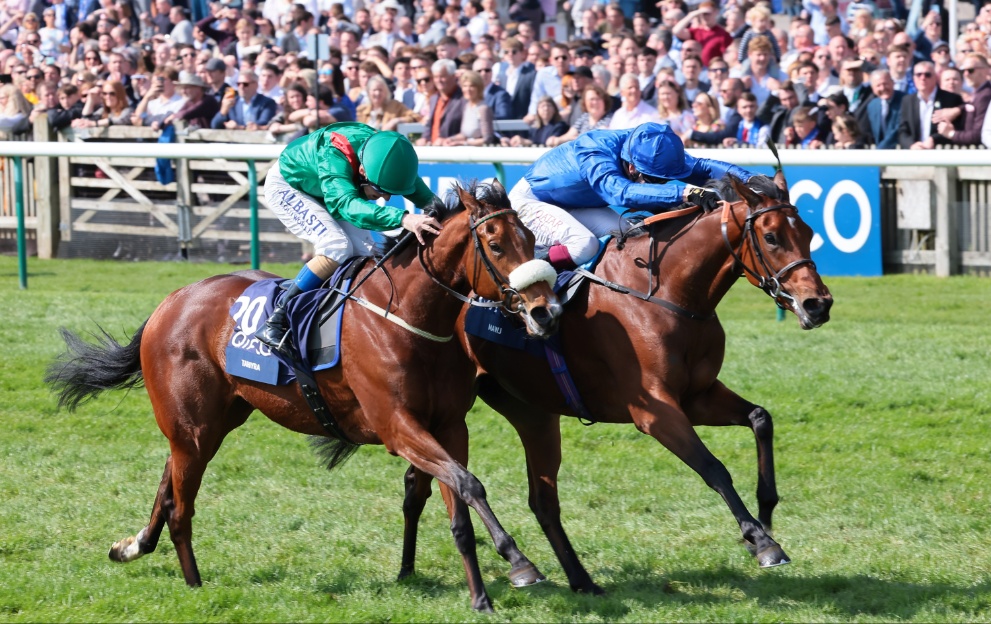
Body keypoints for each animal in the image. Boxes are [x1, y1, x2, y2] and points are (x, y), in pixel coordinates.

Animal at [44, 182, 560, 616]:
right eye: (496, 244)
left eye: (532, 238)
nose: (543, 311)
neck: (408, 317)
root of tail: (169, 302)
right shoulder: (398, 427)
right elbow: (468, 484)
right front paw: (519, 562)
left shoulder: (449, 425)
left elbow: (461, 506)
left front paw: (481, 597)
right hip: (193, 427)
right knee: (180, 505)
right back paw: (194, 585)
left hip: (210, 423)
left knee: (167, 483)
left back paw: (132, 546)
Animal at [396, 174, 836, 596]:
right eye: (772, 237)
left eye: (809, 231)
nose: (818, 304)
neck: (664, 292)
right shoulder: (654, 411)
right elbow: (714, 467)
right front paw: (761, 542)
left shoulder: (697, 396)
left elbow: (761, 419)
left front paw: (765, 516)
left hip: (521, 411)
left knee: (525, 497)